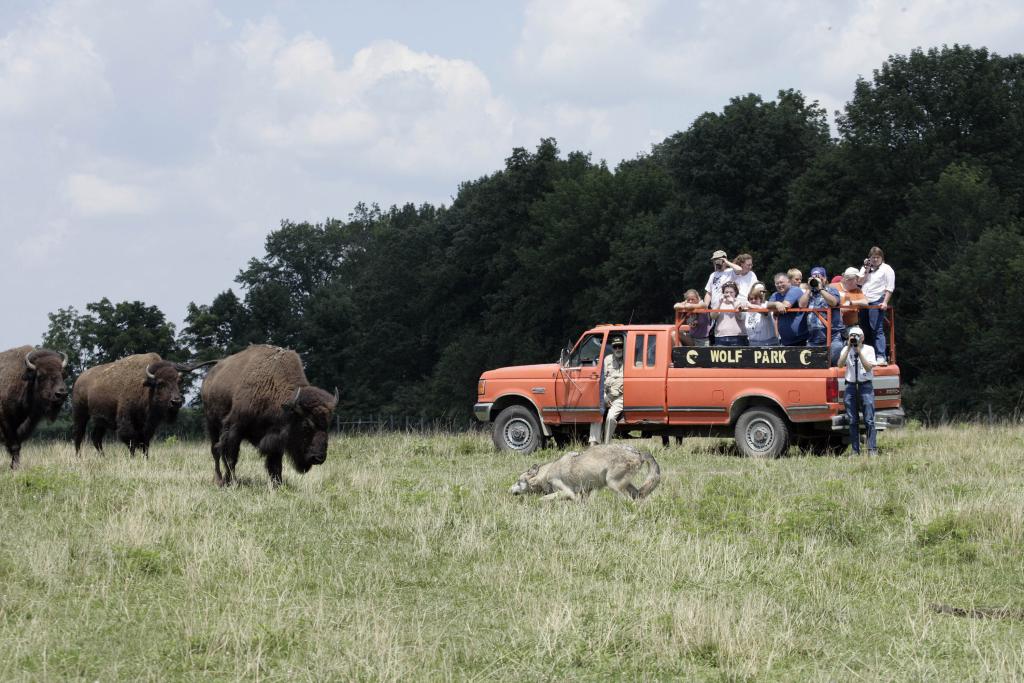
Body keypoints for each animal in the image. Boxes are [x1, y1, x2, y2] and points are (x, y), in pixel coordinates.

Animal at [72, 356, 218, 456]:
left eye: (179, 381)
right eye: (160, 383)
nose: (176, 402)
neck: (146, 388)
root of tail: (79, 379)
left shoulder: (148, 426)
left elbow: (145, 443)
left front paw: (145, 458)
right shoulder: (127, 423)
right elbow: (132, 442)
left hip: (100, 421)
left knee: (96, 438)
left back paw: (103, 456)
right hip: (81, 413)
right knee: (79, 435)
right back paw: (79, 456)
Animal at [199, 348, 339, 485]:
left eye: (327, 425)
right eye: (306, 425)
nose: (319, 457)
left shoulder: (276, 438)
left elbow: (275, 464)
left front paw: (278, 484)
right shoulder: (234, 429)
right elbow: (231, 457)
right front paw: (231, 482)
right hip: (211, 424)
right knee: (216, 452)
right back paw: (218, 479)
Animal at [507, 444, 659, 501]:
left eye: (518, 482)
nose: (508, 490)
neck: (546, 474)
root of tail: (638, 453)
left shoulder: (567, 492)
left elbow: (543, 499)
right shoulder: (584, 493)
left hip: (612, 484)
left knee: (628, 500)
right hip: (626, 486)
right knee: (638, 496)